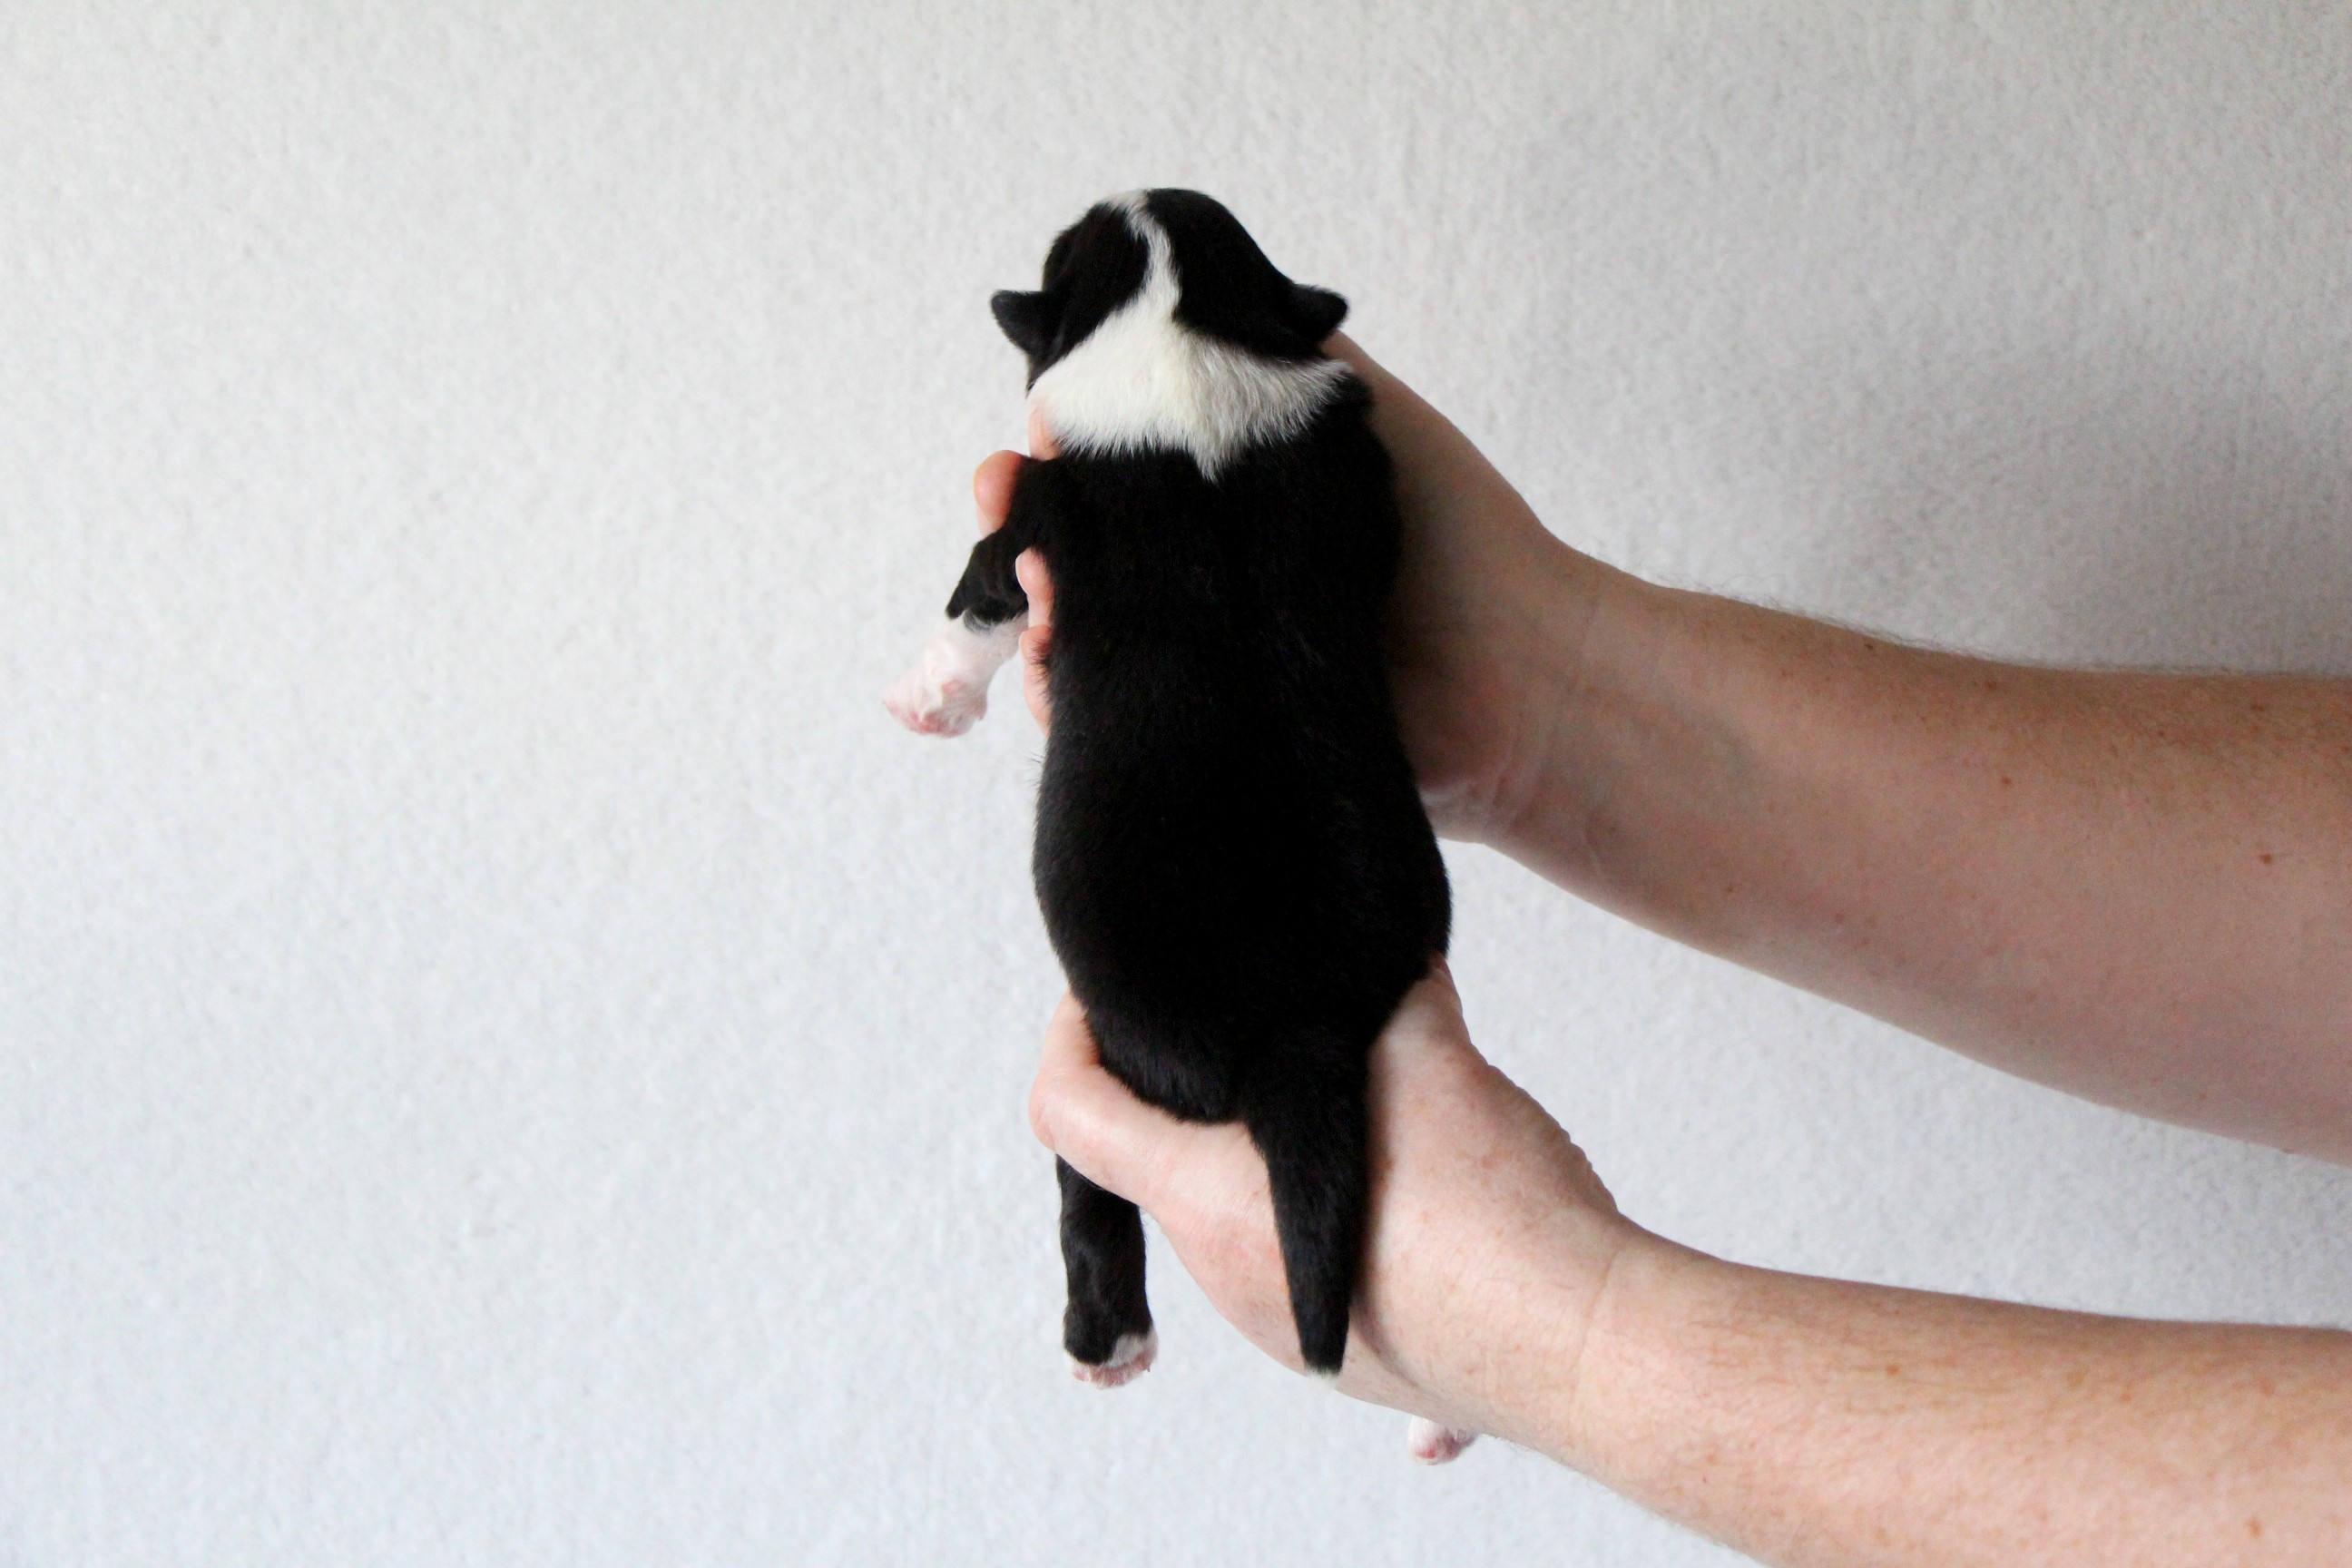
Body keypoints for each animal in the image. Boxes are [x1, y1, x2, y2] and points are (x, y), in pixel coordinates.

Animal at [887, 190, 1473, 1464]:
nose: (1132, 189)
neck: (1180, 324)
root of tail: (1301, 1027)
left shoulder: (1036, 505)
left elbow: (976, 596)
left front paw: (929, 701)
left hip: (1115, 1056)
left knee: (1091, 1194)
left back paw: (1106, 1344)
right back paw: (1442, 1420)